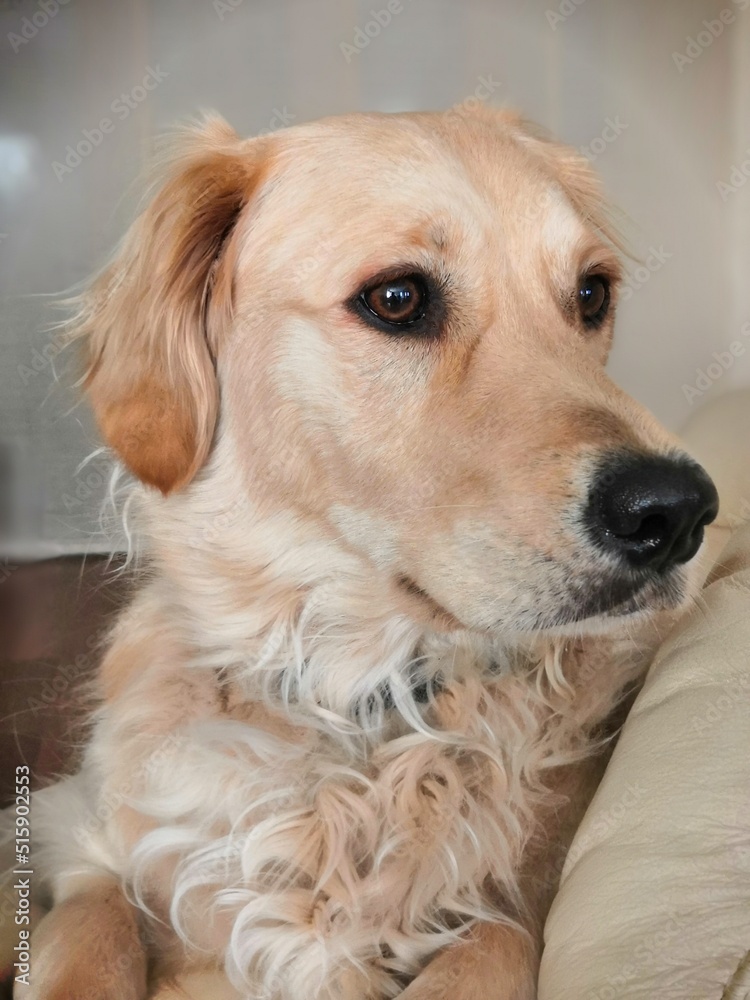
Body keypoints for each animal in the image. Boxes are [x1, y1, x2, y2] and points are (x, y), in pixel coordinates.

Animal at [26, 105, 724, 996]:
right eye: (397, 298)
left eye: (591, 293)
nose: (676, 512)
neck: (355, 689)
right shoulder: (75, 835)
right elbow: (93, 931)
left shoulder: (516, 903)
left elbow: (493, 945)